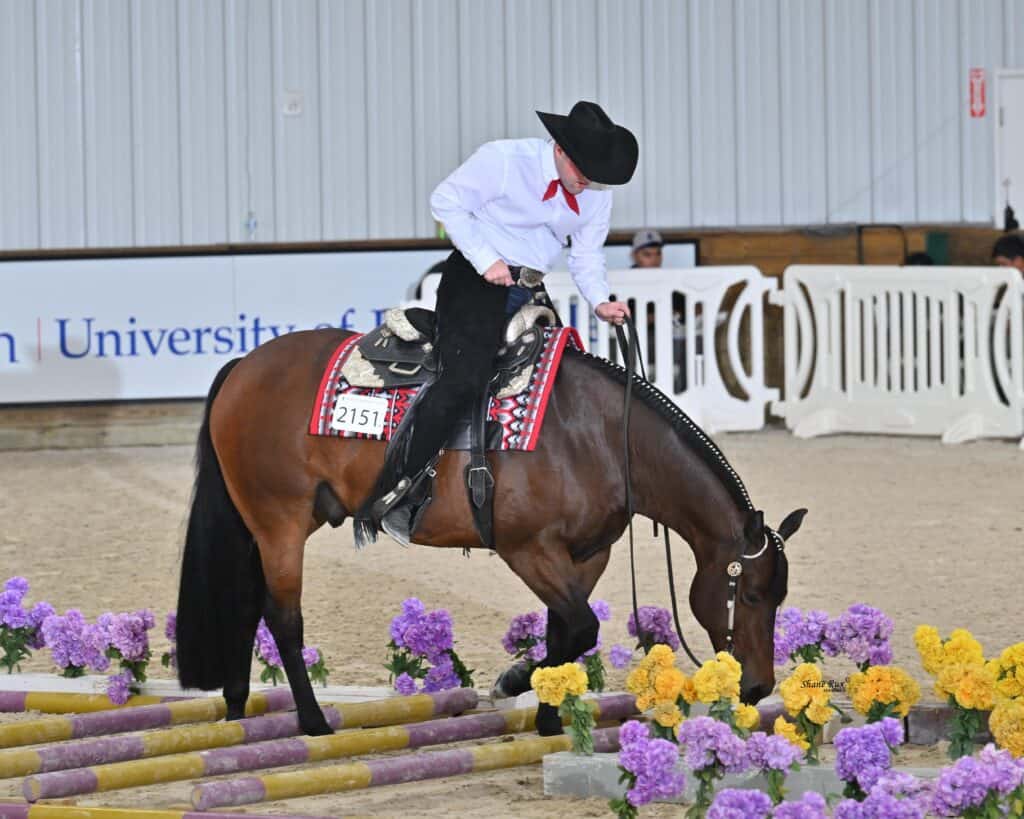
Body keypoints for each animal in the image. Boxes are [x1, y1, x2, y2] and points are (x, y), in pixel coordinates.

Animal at [174, 326, 806, 737]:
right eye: (751, 594)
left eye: (780, 598)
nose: (757, 688)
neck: (600, 436)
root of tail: (243, 366)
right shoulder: (527, 549)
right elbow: (578, 628)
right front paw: (510, 682)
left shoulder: (588, 554)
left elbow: (566, 632)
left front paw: (549, 717)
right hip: (278, 521)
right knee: (283, 617)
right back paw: (310, 722)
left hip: (273, 524)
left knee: (247, 604)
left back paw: (237, 709)